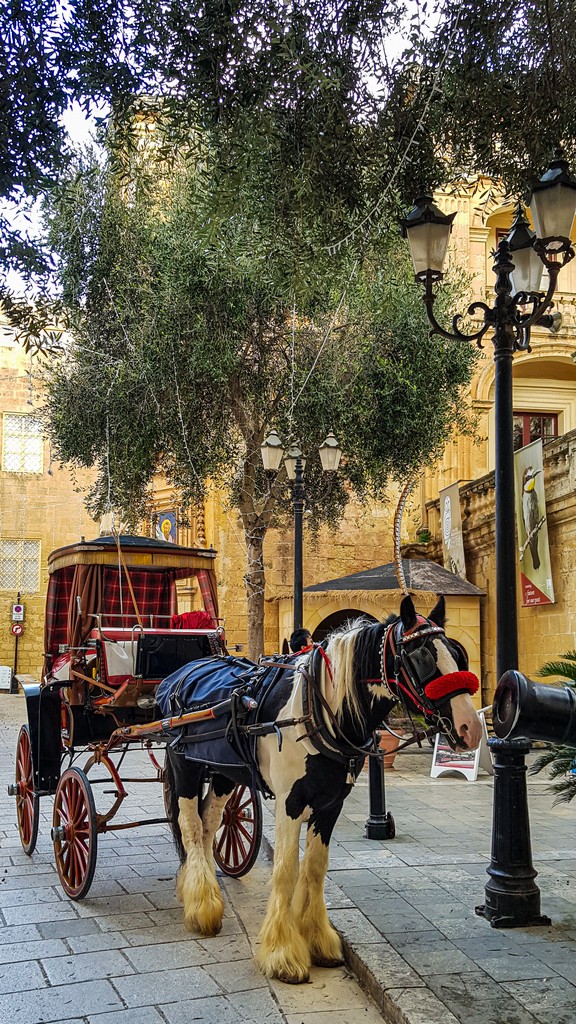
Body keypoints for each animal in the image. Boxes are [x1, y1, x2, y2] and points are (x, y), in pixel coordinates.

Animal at [159, 593, 479, 983]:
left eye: (458, 654)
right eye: (422, 658)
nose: (471, 728)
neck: (317, 709)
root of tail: (182, 673)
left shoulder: (330, 804)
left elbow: (314, 867)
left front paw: (317, 938)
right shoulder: (290, 802)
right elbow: (285, 870)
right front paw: (282, 952)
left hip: (224, 772)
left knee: (208, 823)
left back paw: (202, 893)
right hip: (185, 767)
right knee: (190, 825)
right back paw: (203, 905)